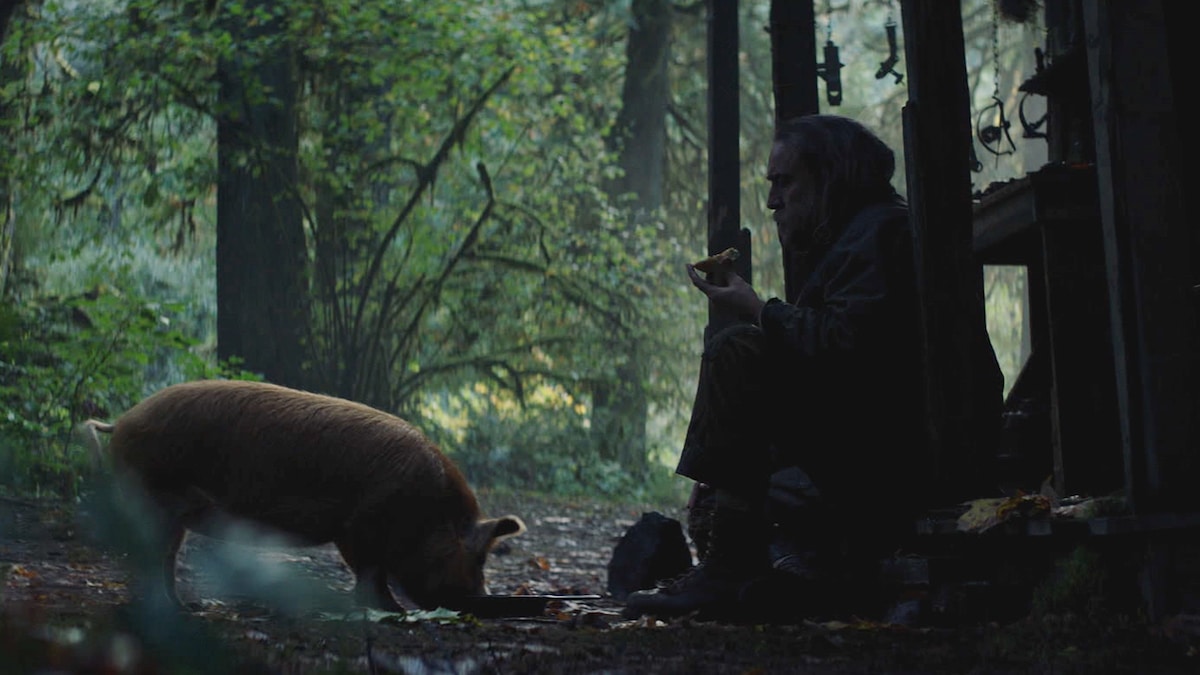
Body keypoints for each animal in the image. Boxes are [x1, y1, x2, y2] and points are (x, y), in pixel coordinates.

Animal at [84, 379, 525, 611]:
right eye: (479, 557)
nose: (485, 598)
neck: (427, 511)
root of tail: (122, 421)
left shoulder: (355, 532)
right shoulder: (359, 526)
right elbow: (370, 572)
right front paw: (392, 611)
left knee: (165, 556)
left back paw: (185, 607)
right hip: (149, 495)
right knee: (152, 555)